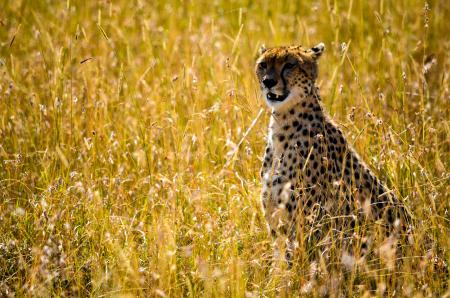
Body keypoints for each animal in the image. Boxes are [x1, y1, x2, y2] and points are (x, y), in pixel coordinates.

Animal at [255, 43, 410, 264]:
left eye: (290, 65)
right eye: (263, 64)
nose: (268, 82)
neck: (282, 124)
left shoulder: (306, 223)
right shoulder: (277, 219)